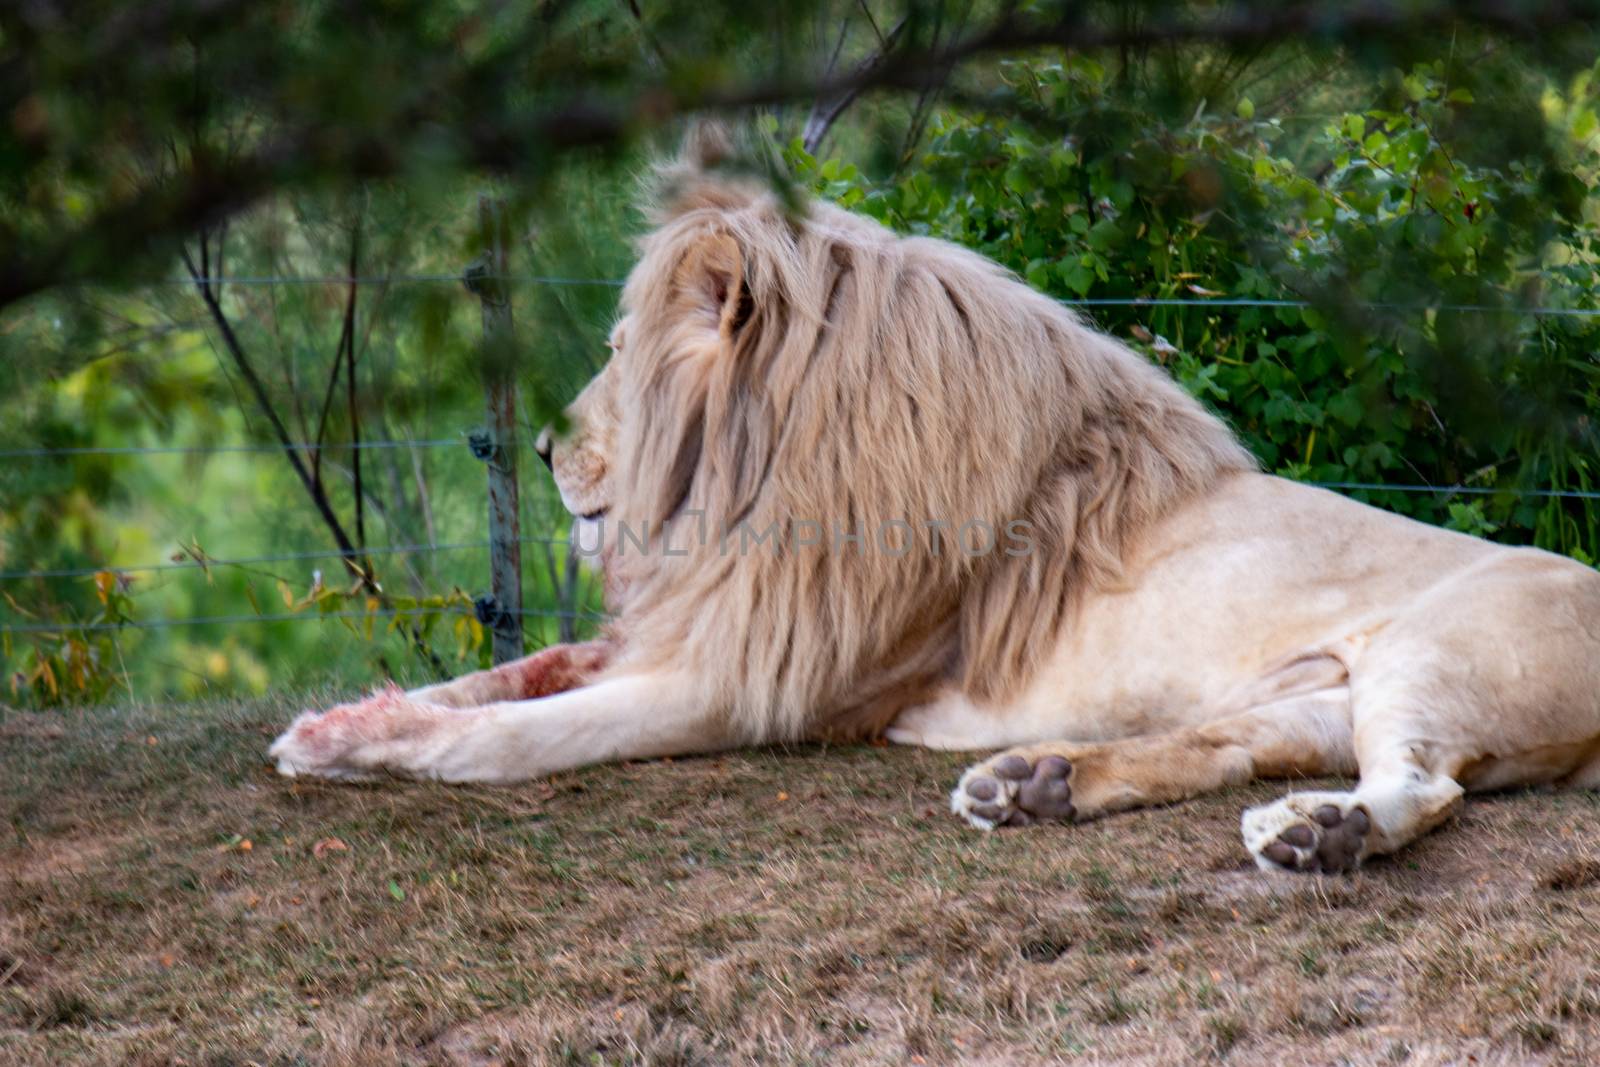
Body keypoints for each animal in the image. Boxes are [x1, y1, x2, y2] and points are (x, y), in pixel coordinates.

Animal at [275, 127, 1600, 876]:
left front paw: (389, 749)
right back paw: (1036, 785)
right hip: (1316, 695)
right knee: (1238, 741)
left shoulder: (759, 681)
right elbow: (514, 670)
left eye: (614, 354)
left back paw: (1317, 836)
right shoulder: (699, 627)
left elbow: (519, 734)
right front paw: (338, 724)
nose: (546, 445)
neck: (757, 477)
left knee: (1420, 785)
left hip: (1432, 653)